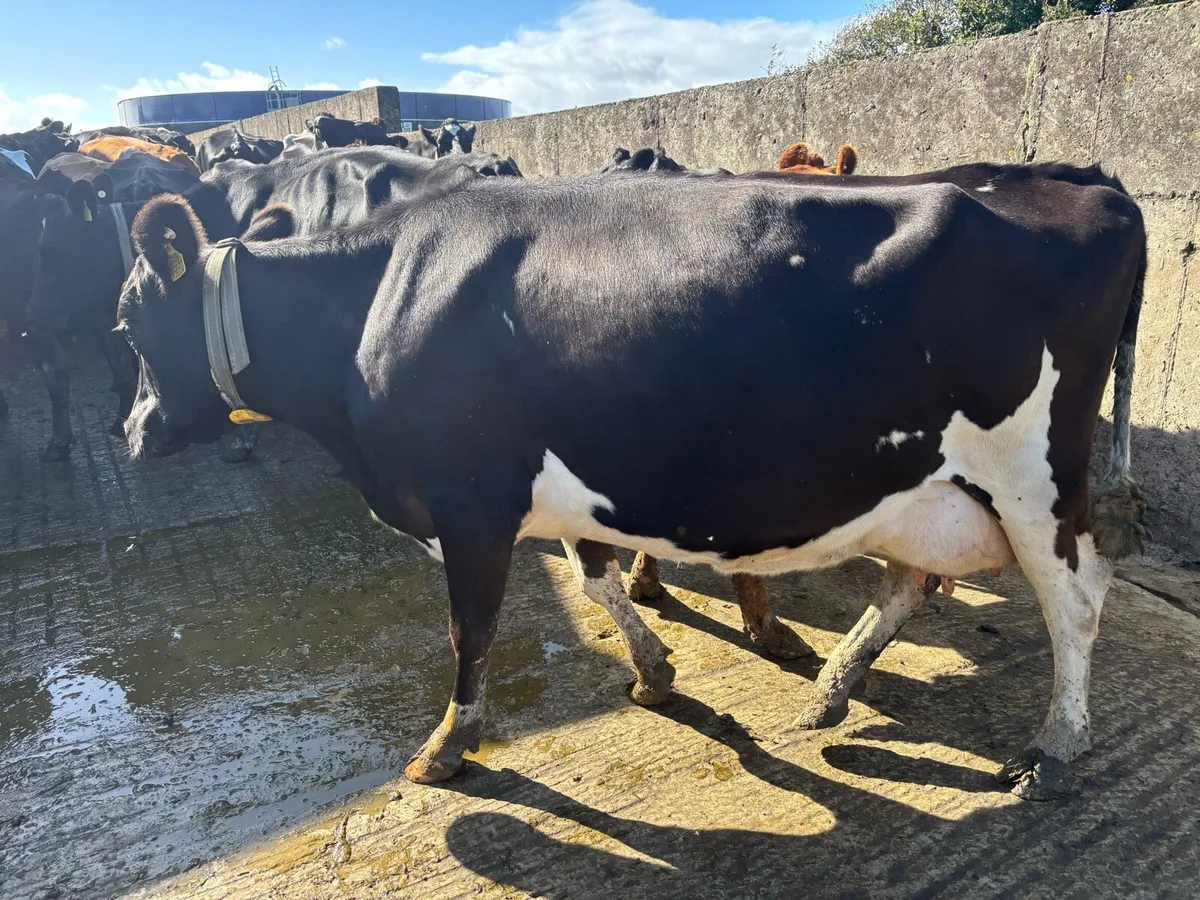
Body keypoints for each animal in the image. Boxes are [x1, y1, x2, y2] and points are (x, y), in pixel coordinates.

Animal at [117, 162, 1145, 801]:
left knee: (1077, 597)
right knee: (912, 578)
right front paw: (654, 671)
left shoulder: (471, 500)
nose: (130, 436)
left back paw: (1055, 746)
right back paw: (833, 687)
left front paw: (446, 747)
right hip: (919, 482)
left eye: (127, 323)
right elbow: (596, 574)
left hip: (1034, 476)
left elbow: (472, 630)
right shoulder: (572, 473)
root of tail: (1090, 185)